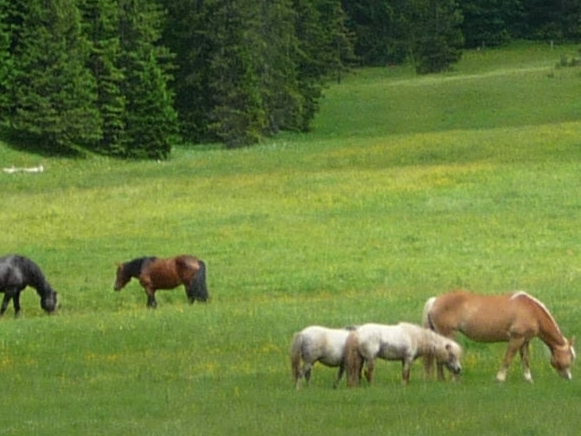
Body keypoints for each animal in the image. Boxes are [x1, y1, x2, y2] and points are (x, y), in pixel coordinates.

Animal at [422, 292, 576, 384]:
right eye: (570, 357)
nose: (568, 378)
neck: (532, 311)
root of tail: (435, 301)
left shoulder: (525, 341)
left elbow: (525, 360)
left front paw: (528, 380)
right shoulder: (516, 339)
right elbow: (508, 358)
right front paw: (500, 379)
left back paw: (441, 380)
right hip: (448, 334)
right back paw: (453, 379)